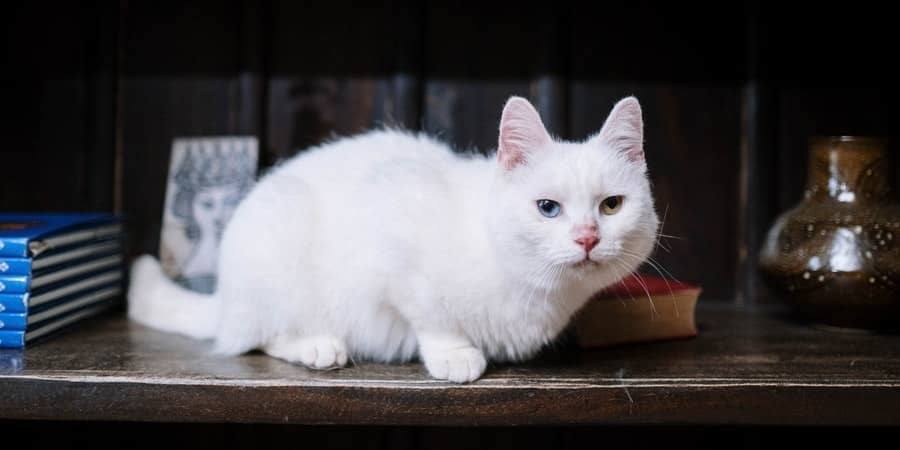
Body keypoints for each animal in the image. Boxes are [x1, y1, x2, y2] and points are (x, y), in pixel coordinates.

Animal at [126, 95, 656, 384]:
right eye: (548, 208)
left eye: (611, 206)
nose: (587, 237)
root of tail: (224, 296)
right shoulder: (392, 235)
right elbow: (430, 313)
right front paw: (454, 354)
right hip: (281, 245)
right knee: (256, 336)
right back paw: (318, 346)